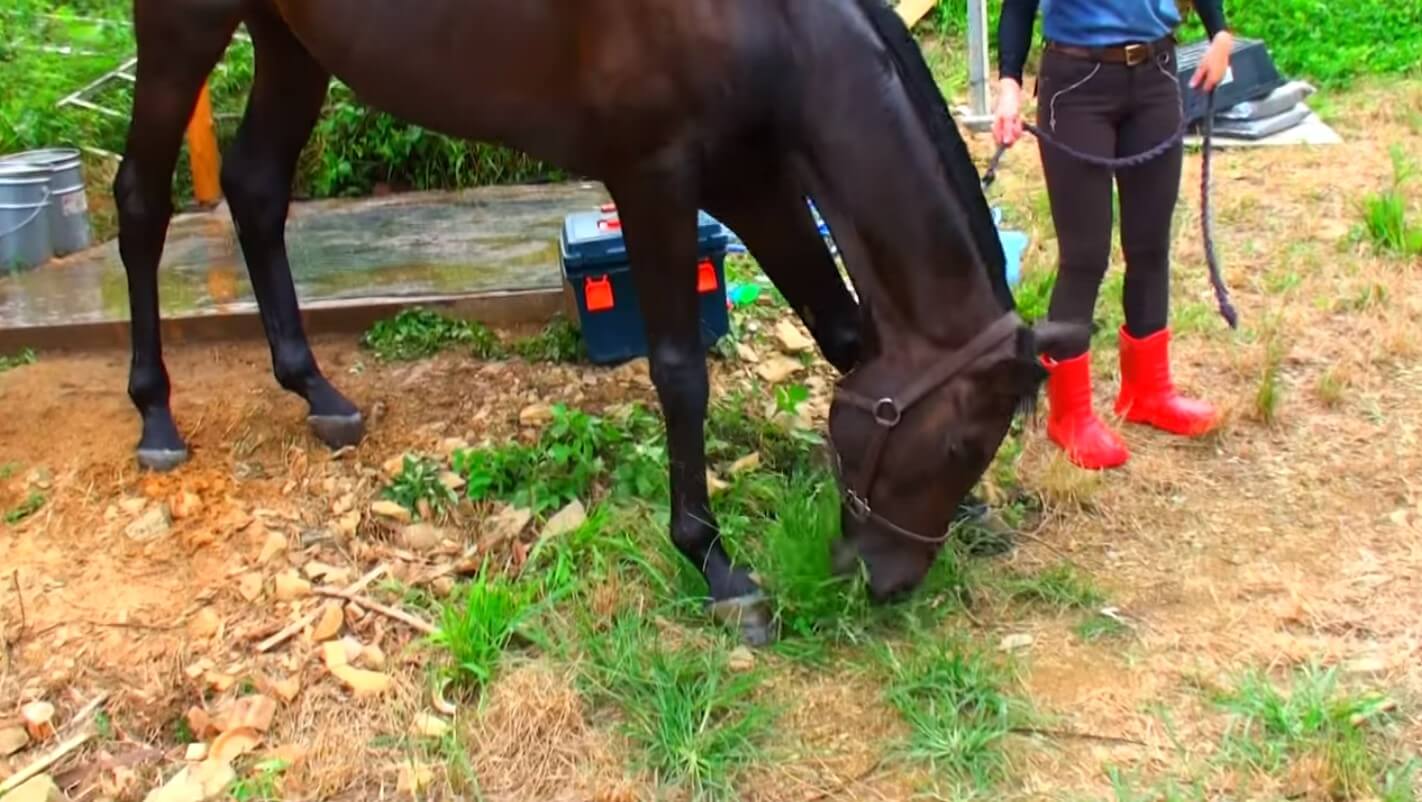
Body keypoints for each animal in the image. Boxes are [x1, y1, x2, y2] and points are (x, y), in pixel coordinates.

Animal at [113, 0, 1087, 645]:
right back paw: (155, 415)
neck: (770, 27)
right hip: (182, 28)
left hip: (289, 38)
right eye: (959, 444)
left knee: (256, 187)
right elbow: (681, 373)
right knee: (139, 201)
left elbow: (843, 334)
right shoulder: (653, 175)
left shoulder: (755, 177)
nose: (888, 584)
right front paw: (713, 562)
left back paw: (313, 387)